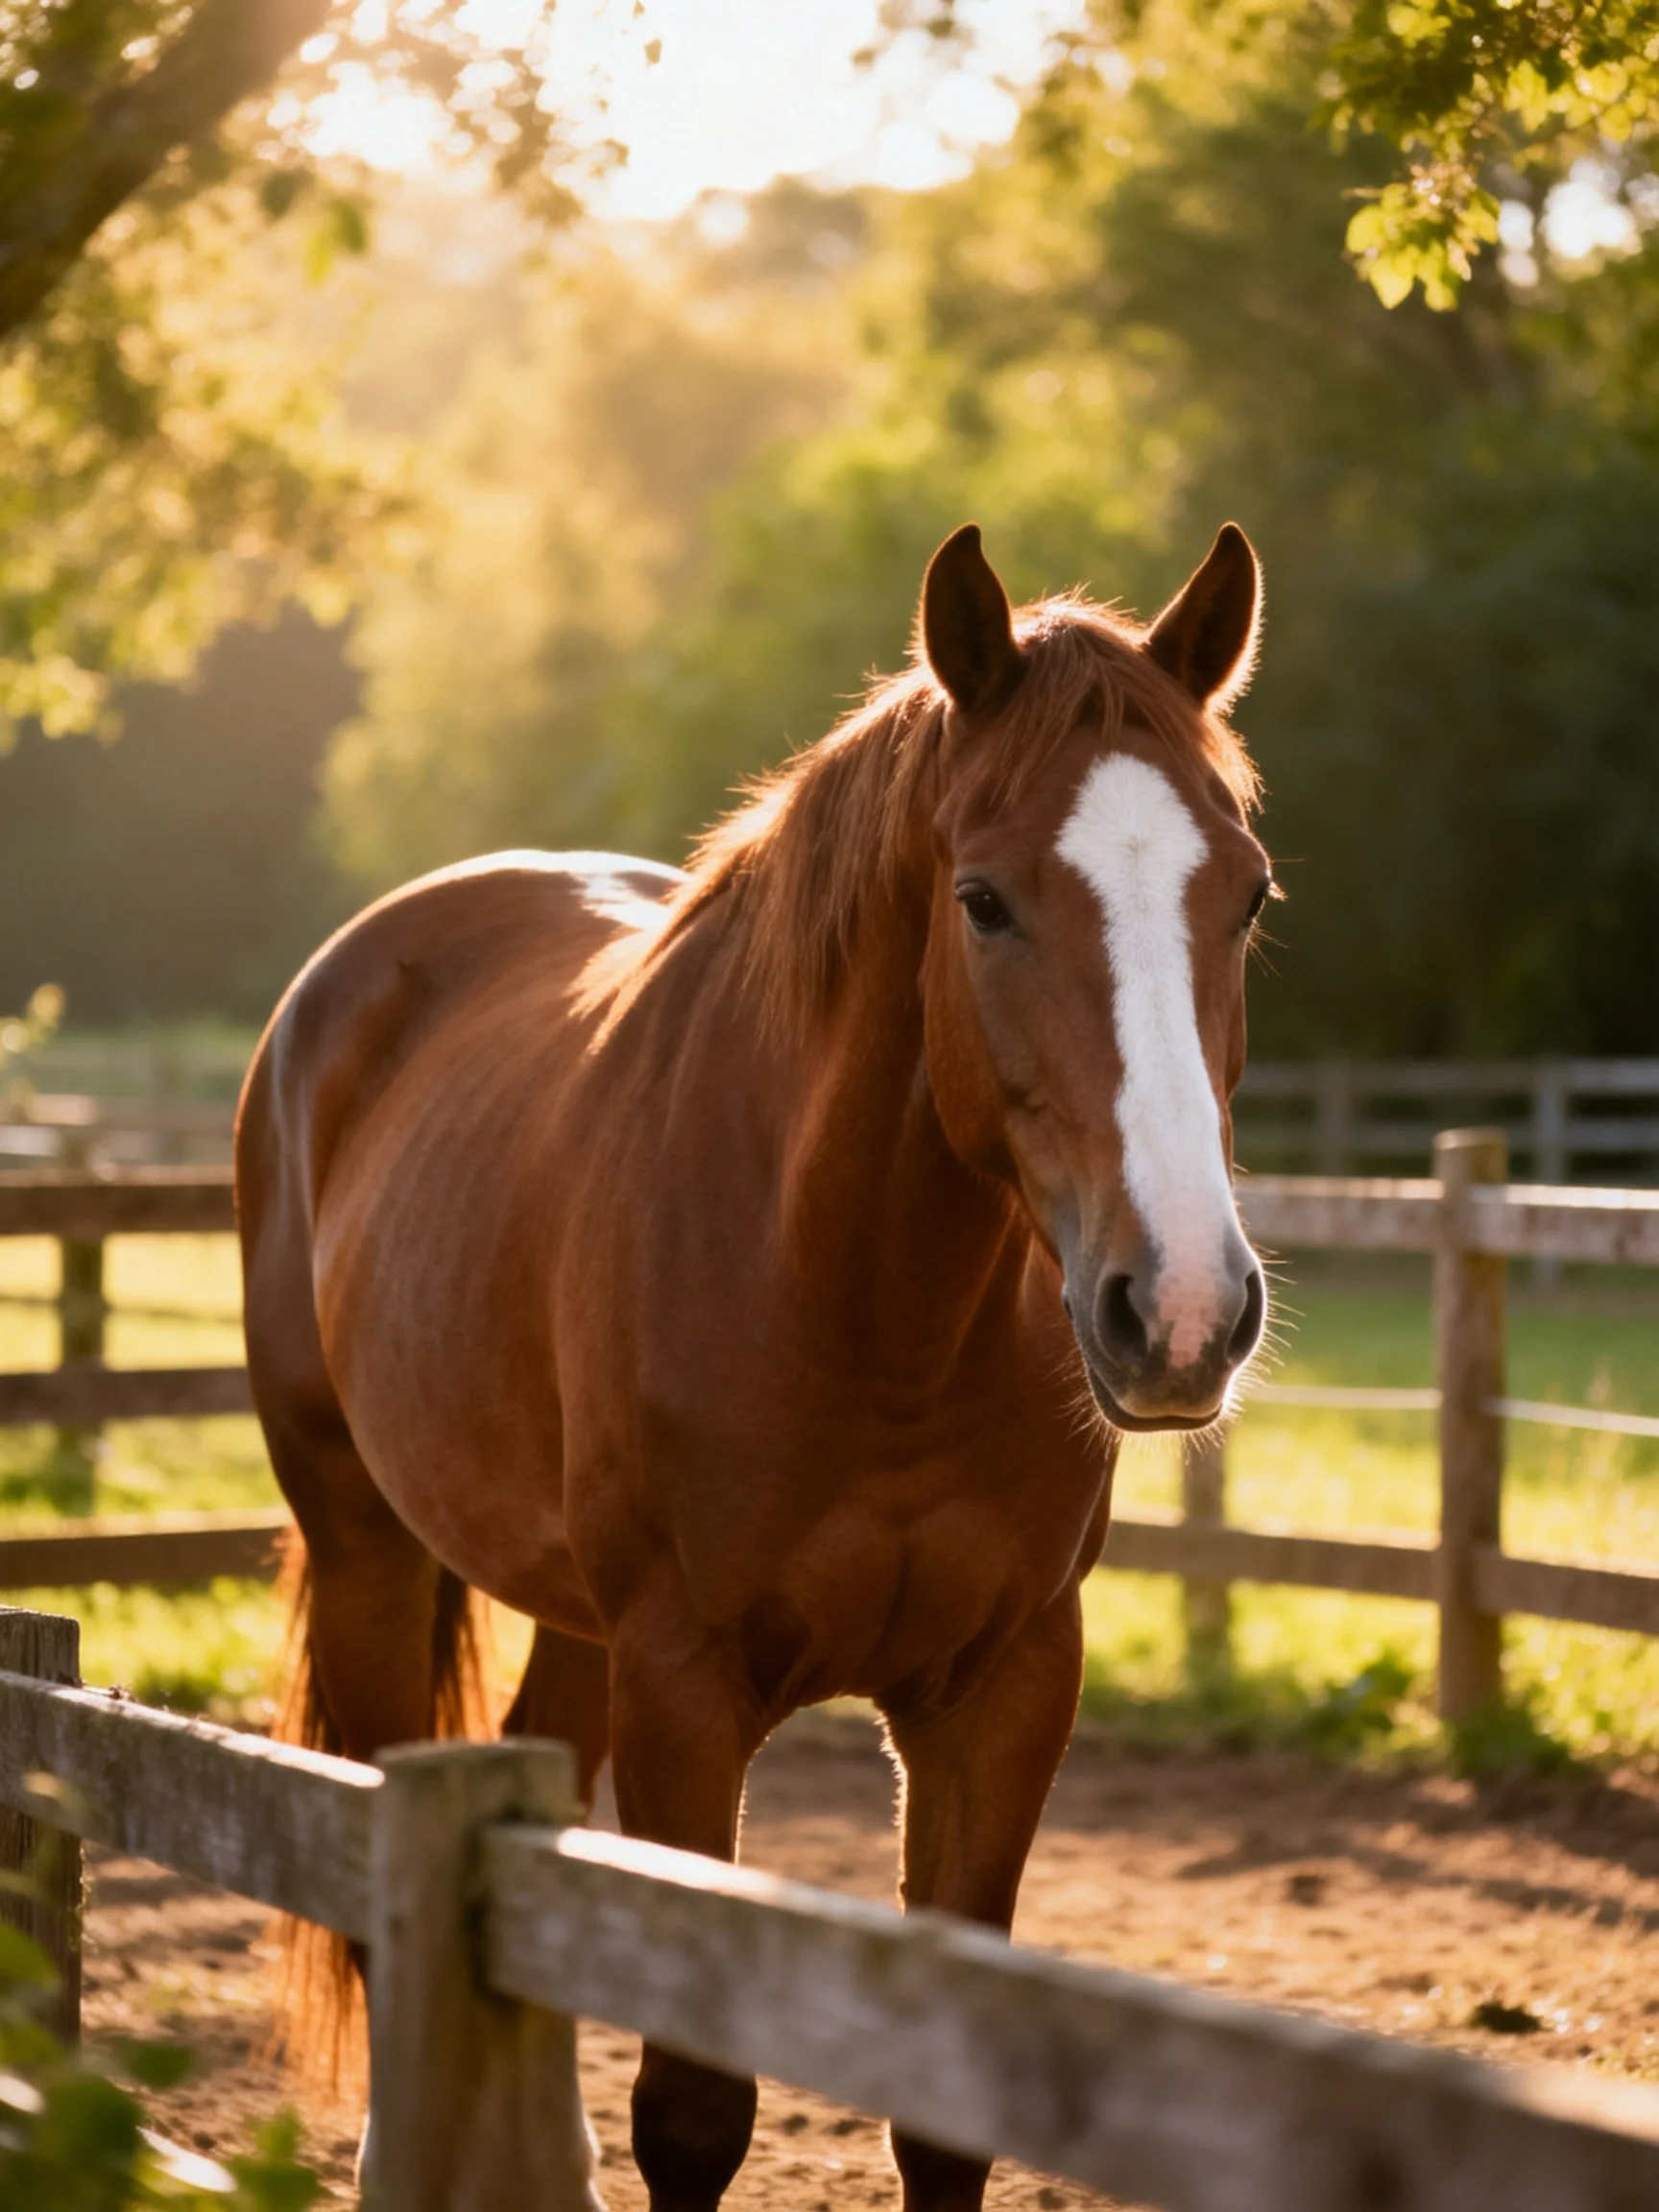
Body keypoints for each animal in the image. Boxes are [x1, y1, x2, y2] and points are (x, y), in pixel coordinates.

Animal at [236, 519, 1272, 2212]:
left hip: (568, 1616)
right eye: (983, 901)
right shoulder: (686, 1687)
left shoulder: (1005, 1686)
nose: (1181, 1309)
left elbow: (942, 2116)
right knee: (376, 1853)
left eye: (1244, 897)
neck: (862, 1311)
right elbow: (695, 2111)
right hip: (365, 1543)